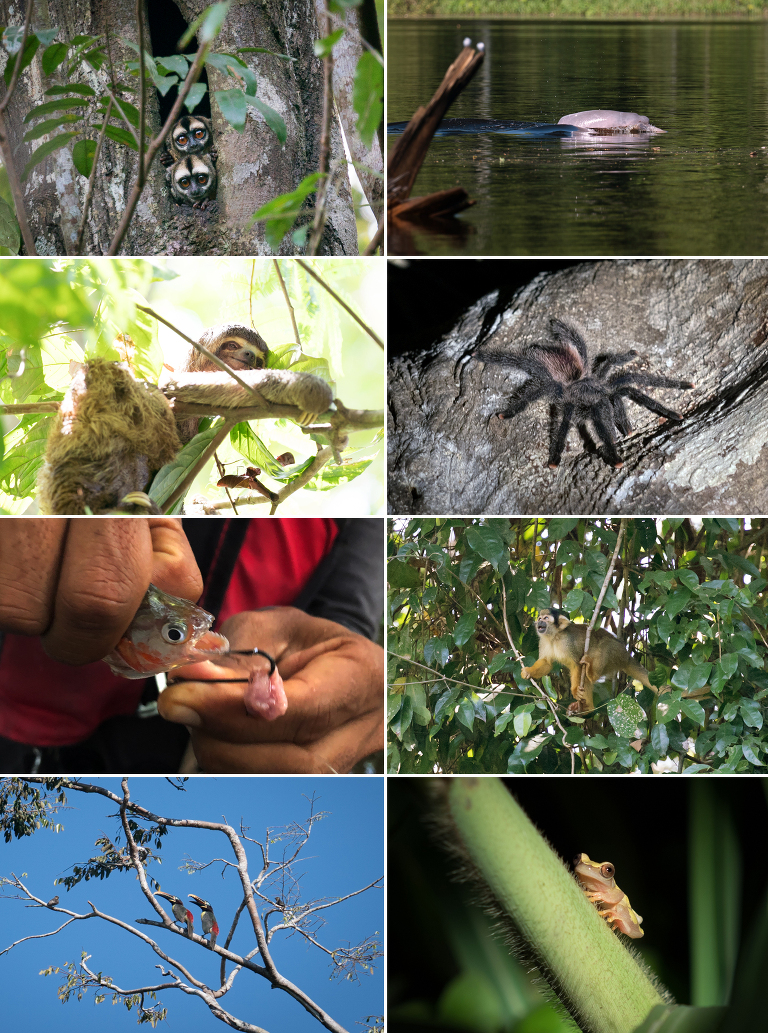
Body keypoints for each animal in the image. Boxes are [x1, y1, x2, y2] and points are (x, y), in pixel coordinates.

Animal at [518, 607, 653, 714]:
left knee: (605, 645)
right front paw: (529, 671)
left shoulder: (568, 642)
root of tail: (626, 656)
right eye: (540, 617)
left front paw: (574, 690)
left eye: (546, 618)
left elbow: (576, 664)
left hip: (616, 653)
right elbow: (547, 663)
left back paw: (592, 674)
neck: (555, 636)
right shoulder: (543, 641)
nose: (539, 621)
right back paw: (587, 708)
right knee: (586, 679)